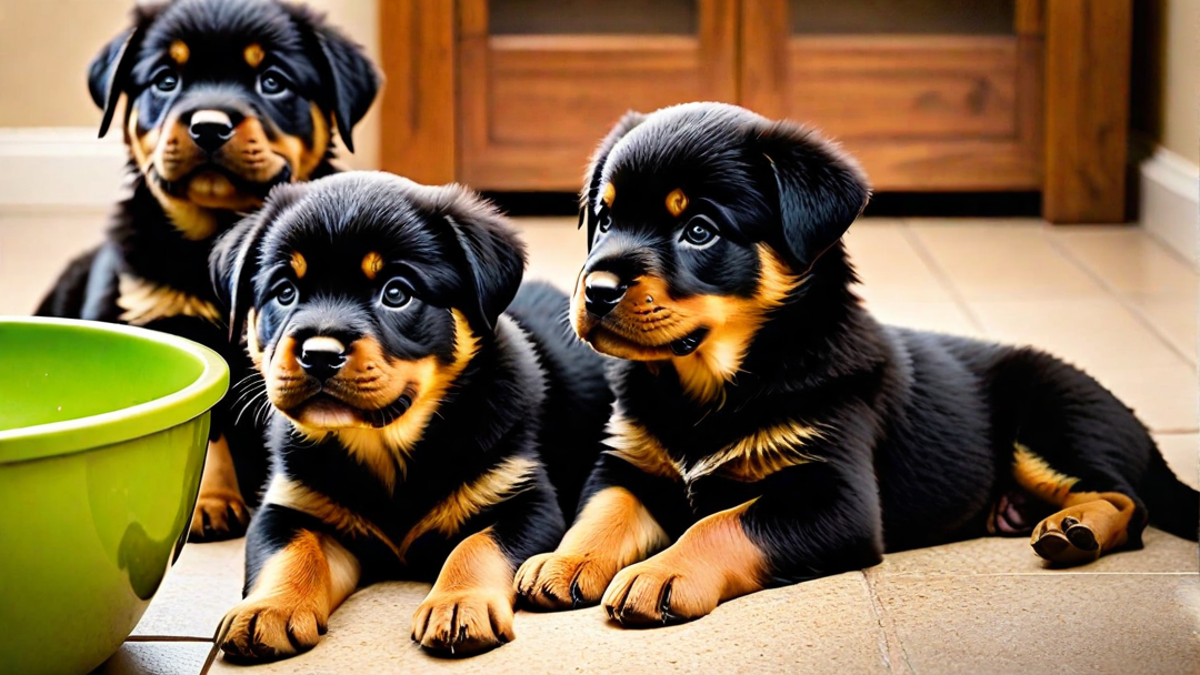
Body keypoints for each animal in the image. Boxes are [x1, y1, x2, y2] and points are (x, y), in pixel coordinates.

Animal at [35, 0, 379, 538]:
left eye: (273, 80)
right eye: (166, 79)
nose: (209, 125)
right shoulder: (171, 319)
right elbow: (209, 419)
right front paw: (209, 502)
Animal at [513, 100, 1190, 624]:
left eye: (699, 230)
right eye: (604, 219)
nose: (596, 290)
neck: (708, 387)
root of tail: (1142, 432)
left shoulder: (837, 499)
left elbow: (725, 522)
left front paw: (662, 573)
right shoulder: (628, 463)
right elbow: (600, 512)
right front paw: (563, 562)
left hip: (1050, 421)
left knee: (1130, 502)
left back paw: (1072, 530)